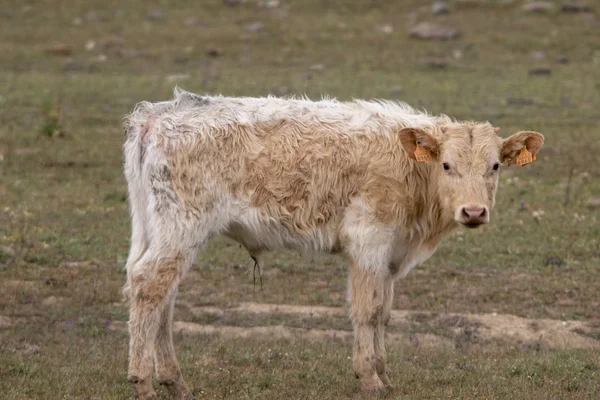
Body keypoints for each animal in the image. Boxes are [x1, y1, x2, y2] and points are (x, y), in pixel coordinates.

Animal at [122, 89, 544, 398]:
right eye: (446, 165)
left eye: (495, 166)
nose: (473, 211)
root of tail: (159, 114)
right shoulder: (369, 241)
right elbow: (367, 310)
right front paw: (369, 378)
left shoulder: (390, 254)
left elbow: (384, 311)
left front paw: (384, 374)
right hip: (181, 225)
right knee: (149, 285)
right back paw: (143, 381)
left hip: (154, 227)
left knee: (159, 294)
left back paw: (173, 380)